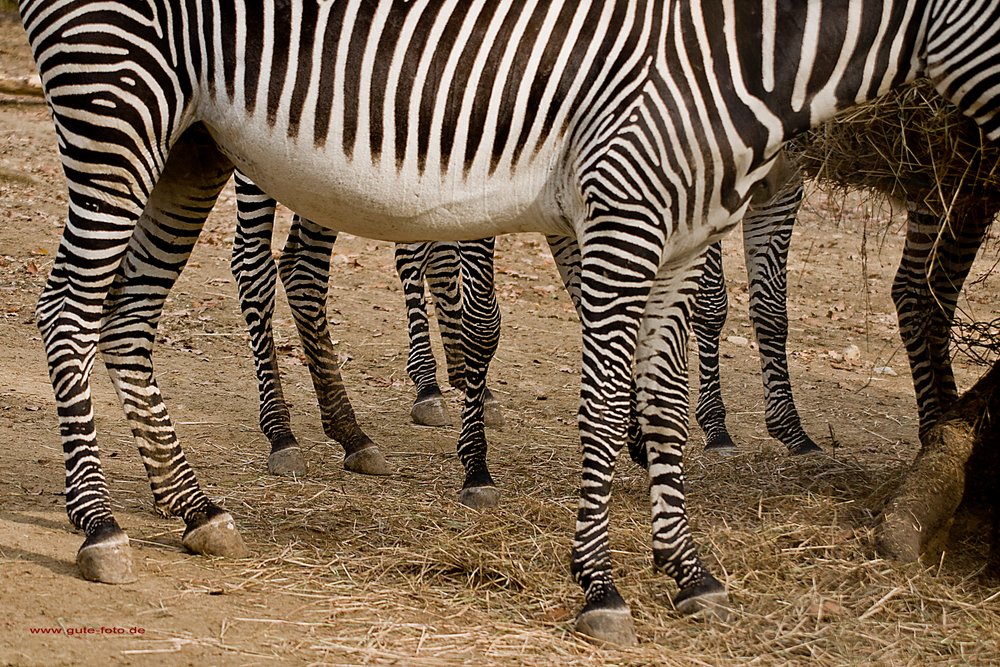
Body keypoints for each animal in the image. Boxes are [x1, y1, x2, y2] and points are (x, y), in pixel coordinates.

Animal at [20, 0, 1000, 645]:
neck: (738, 54)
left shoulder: (683, 243)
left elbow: (666, 403)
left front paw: (687, 570)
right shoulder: (620, 221)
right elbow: (597, 401)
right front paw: (599, 583)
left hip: (191, 141)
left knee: (129, 315)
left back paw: (194, 507)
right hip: (119, 106)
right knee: (67, 306)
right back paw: (100, 524)